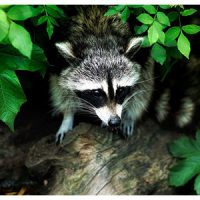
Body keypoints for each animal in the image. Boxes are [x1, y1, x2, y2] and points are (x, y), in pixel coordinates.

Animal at [48, 5, 155, 143]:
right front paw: (67, 116)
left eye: (120, 90)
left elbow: (143, 85)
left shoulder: (142, 56)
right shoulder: (58, 62)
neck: (99, 36)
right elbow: (60, 87)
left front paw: (129, 116)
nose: (114, 121)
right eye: (97, 93)